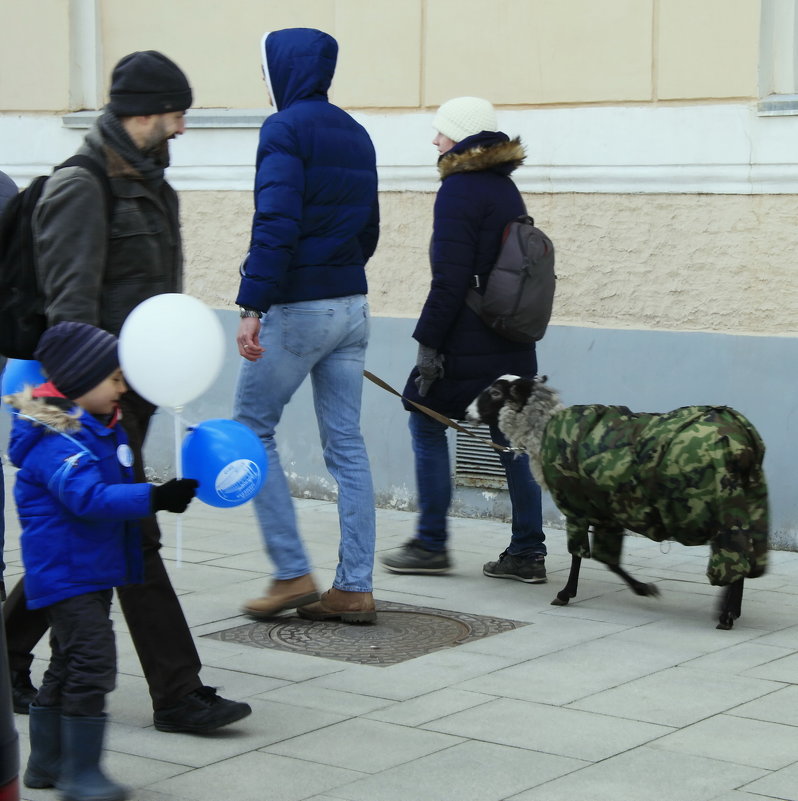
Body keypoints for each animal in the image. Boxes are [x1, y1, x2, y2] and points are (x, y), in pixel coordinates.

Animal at [468, 376, 768, 632]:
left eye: (495, 393)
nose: (467, 411)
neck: (542, 432)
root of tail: (743, 440)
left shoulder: (577, 507)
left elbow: (580, 555)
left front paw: (565, 594)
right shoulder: (606, 510)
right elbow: (608, 559)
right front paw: (644, 589)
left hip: (718, 505)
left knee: (734, 555)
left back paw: (726, 615)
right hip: (749, 502)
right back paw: (732, 611)